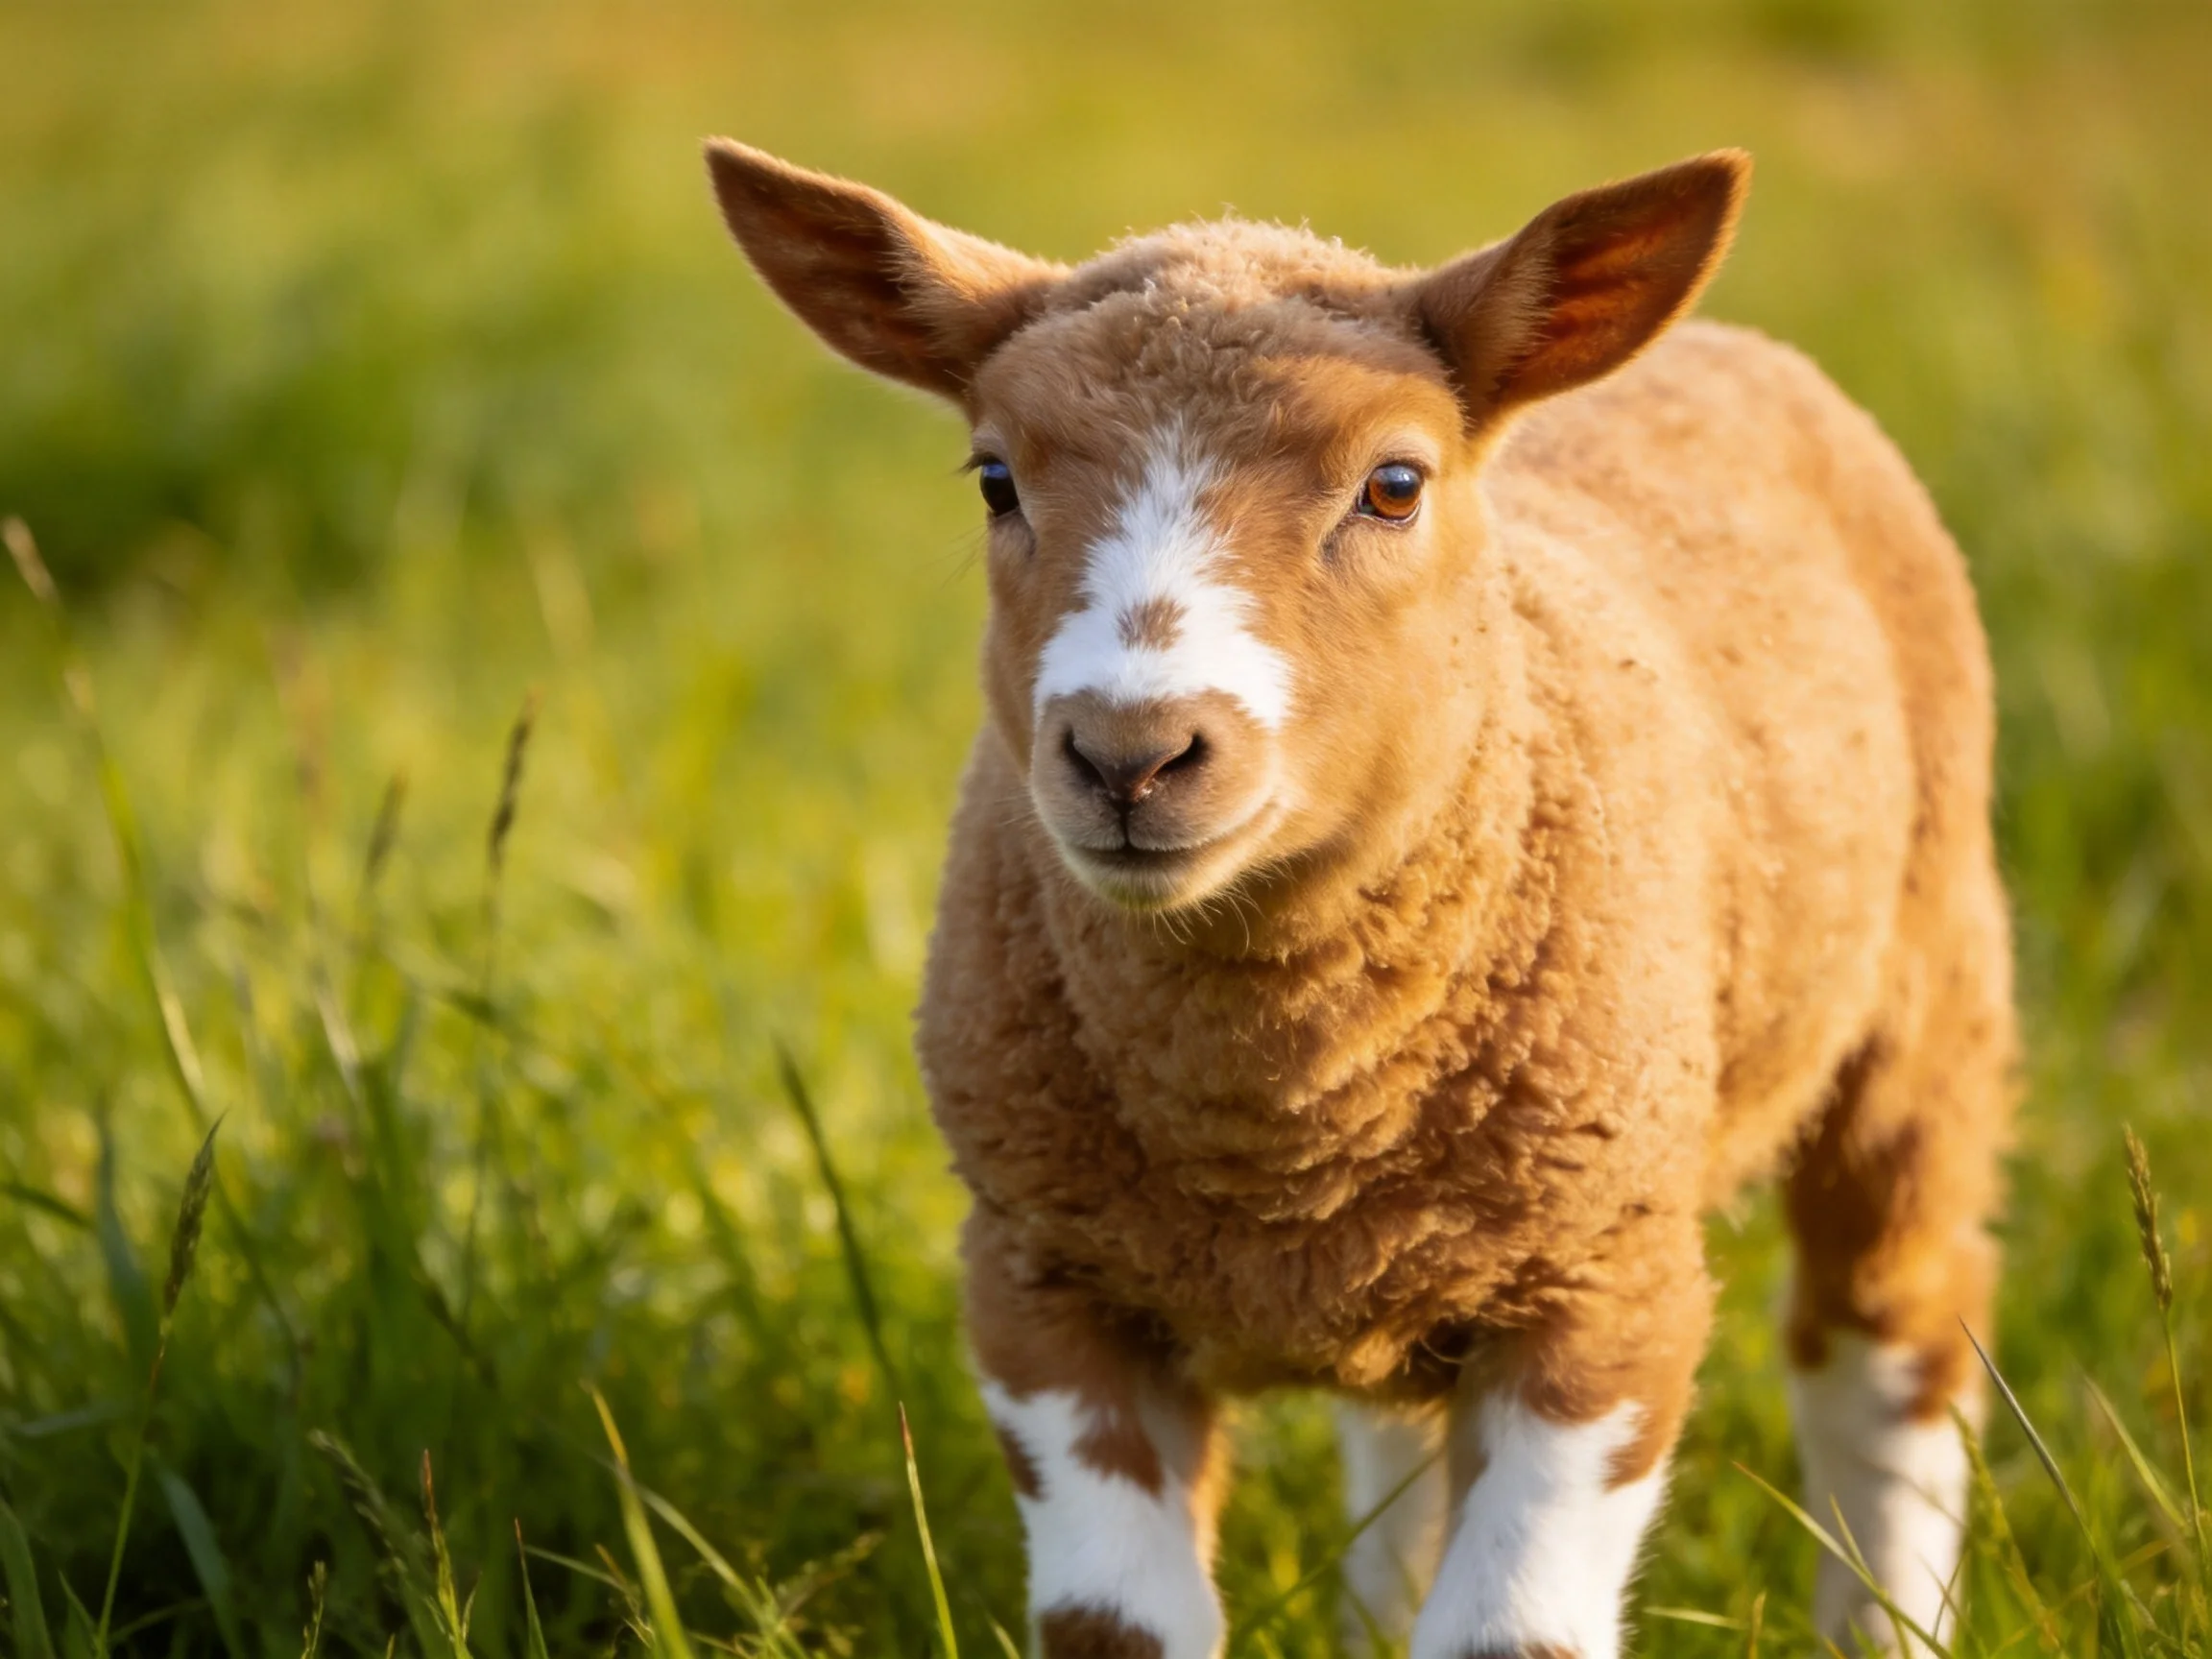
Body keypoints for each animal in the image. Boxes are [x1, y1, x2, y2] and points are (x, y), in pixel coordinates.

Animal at [705, 139, 2015, 1659]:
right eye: (993, 480)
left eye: (1395, 484)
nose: (1130, 753)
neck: (1276, 1112)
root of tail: (1730, 340)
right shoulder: (1043, 1279)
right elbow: (1118, 1627)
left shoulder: (1605, 1283)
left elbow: (1514, 1634)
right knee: (1400, 1442)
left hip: (1927, 964)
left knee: (1887, 1342)